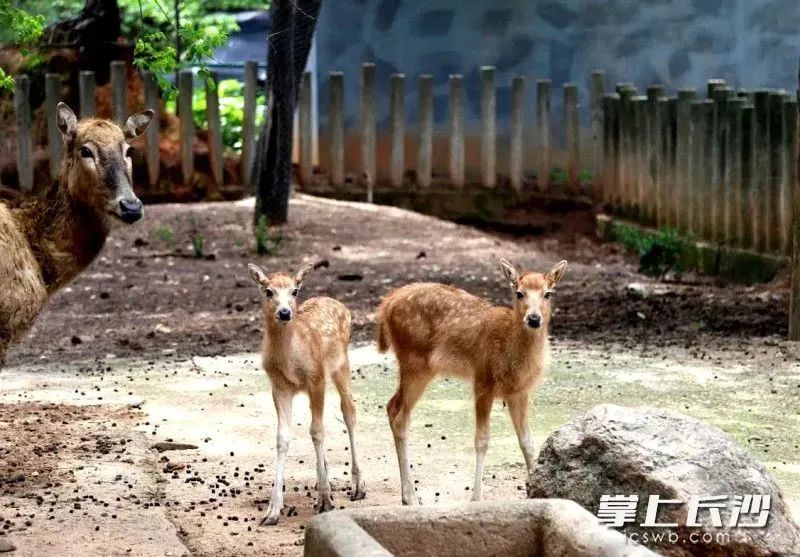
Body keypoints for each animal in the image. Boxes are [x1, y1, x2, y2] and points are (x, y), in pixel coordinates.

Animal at [378, 256, 564, 504]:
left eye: (548, 293)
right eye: (519, 293)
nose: (534, 319)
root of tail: (387, 303)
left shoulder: (519, 391)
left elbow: (527, 441)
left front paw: (537, 492)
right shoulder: (483, 380)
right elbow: (482, 440)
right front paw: (476, 498)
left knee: (391, 406)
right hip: (415, 362)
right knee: (400, 416)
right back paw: (410, 497)